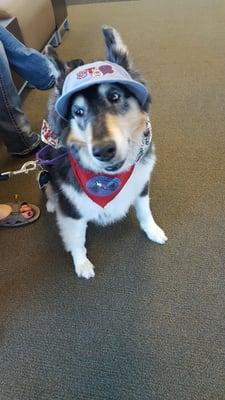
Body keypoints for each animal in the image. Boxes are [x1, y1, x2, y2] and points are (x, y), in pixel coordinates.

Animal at [42, 26, 167, 280]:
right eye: (78, 111)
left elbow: (145, 211)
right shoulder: (72, 210)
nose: (103, 151)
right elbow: (77, 239)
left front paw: (153, 231)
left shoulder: (141, 183)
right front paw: (82, 264)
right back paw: (51, 202)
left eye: (115, 96)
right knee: (48, 186)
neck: (109, 178)